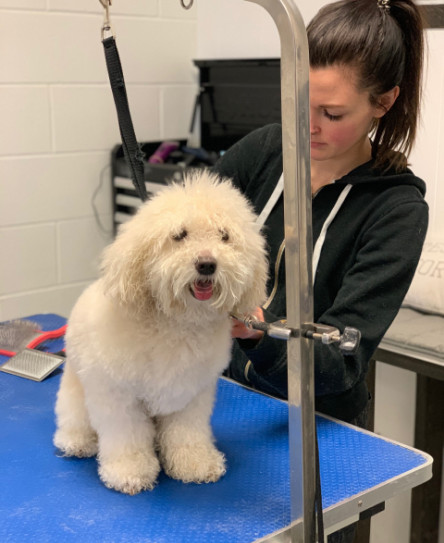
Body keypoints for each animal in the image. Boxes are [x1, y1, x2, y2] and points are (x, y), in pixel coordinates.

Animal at [52, 172, 268, 496]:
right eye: (179, 235)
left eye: (224, 236)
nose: (207, 264)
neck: (176, 323)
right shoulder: (118, 397)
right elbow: (126, 437)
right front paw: (129, 471)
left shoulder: (190, 395)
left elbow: (186, 434)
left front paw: (195, 463)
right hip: (75, 394)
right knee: (73, 421)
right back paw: (77, 442)